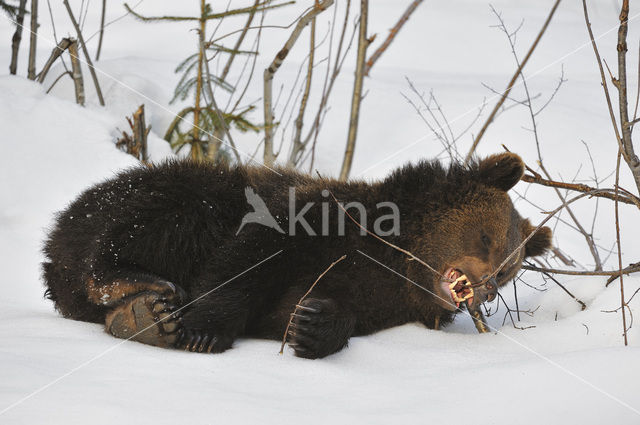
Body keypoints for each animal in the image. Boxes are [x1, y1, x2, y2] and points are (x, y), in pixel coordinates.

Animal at [41, 152, 552, 358]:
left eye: (509, 270)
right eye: (486, 239)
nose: (484, 290)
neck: (398, 260)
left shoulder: (376, 299)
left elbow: (316, 311)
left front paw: (312, 326)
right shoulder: (313, 218)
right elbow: (253, 256)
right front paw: (205, 332)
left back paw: (142, 316)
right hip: (179, 197)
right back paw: (143, 289)